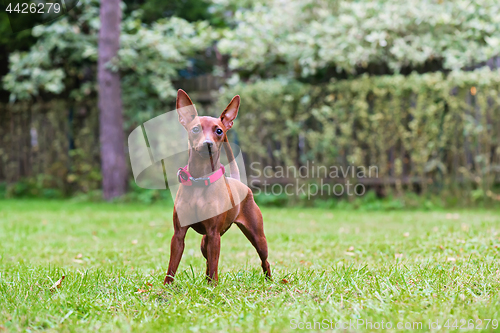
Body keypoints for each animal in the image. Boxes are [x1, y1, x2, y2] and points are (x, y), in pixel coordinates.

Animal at [165, 89, 272, 284]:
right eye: (195, 129)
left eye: (219, 130)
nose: (208, 144)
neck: (200, 180)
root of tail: (238, 182)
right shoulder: (179, 235)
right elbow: (172, 268)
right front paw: (166, 288)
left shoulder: (214, 234)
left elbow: (215, 264)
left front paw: (212, 288)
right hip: (204, 242)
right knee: (207, 261)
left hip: (258, 238)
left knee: (264, 260)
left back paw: (270, 281)